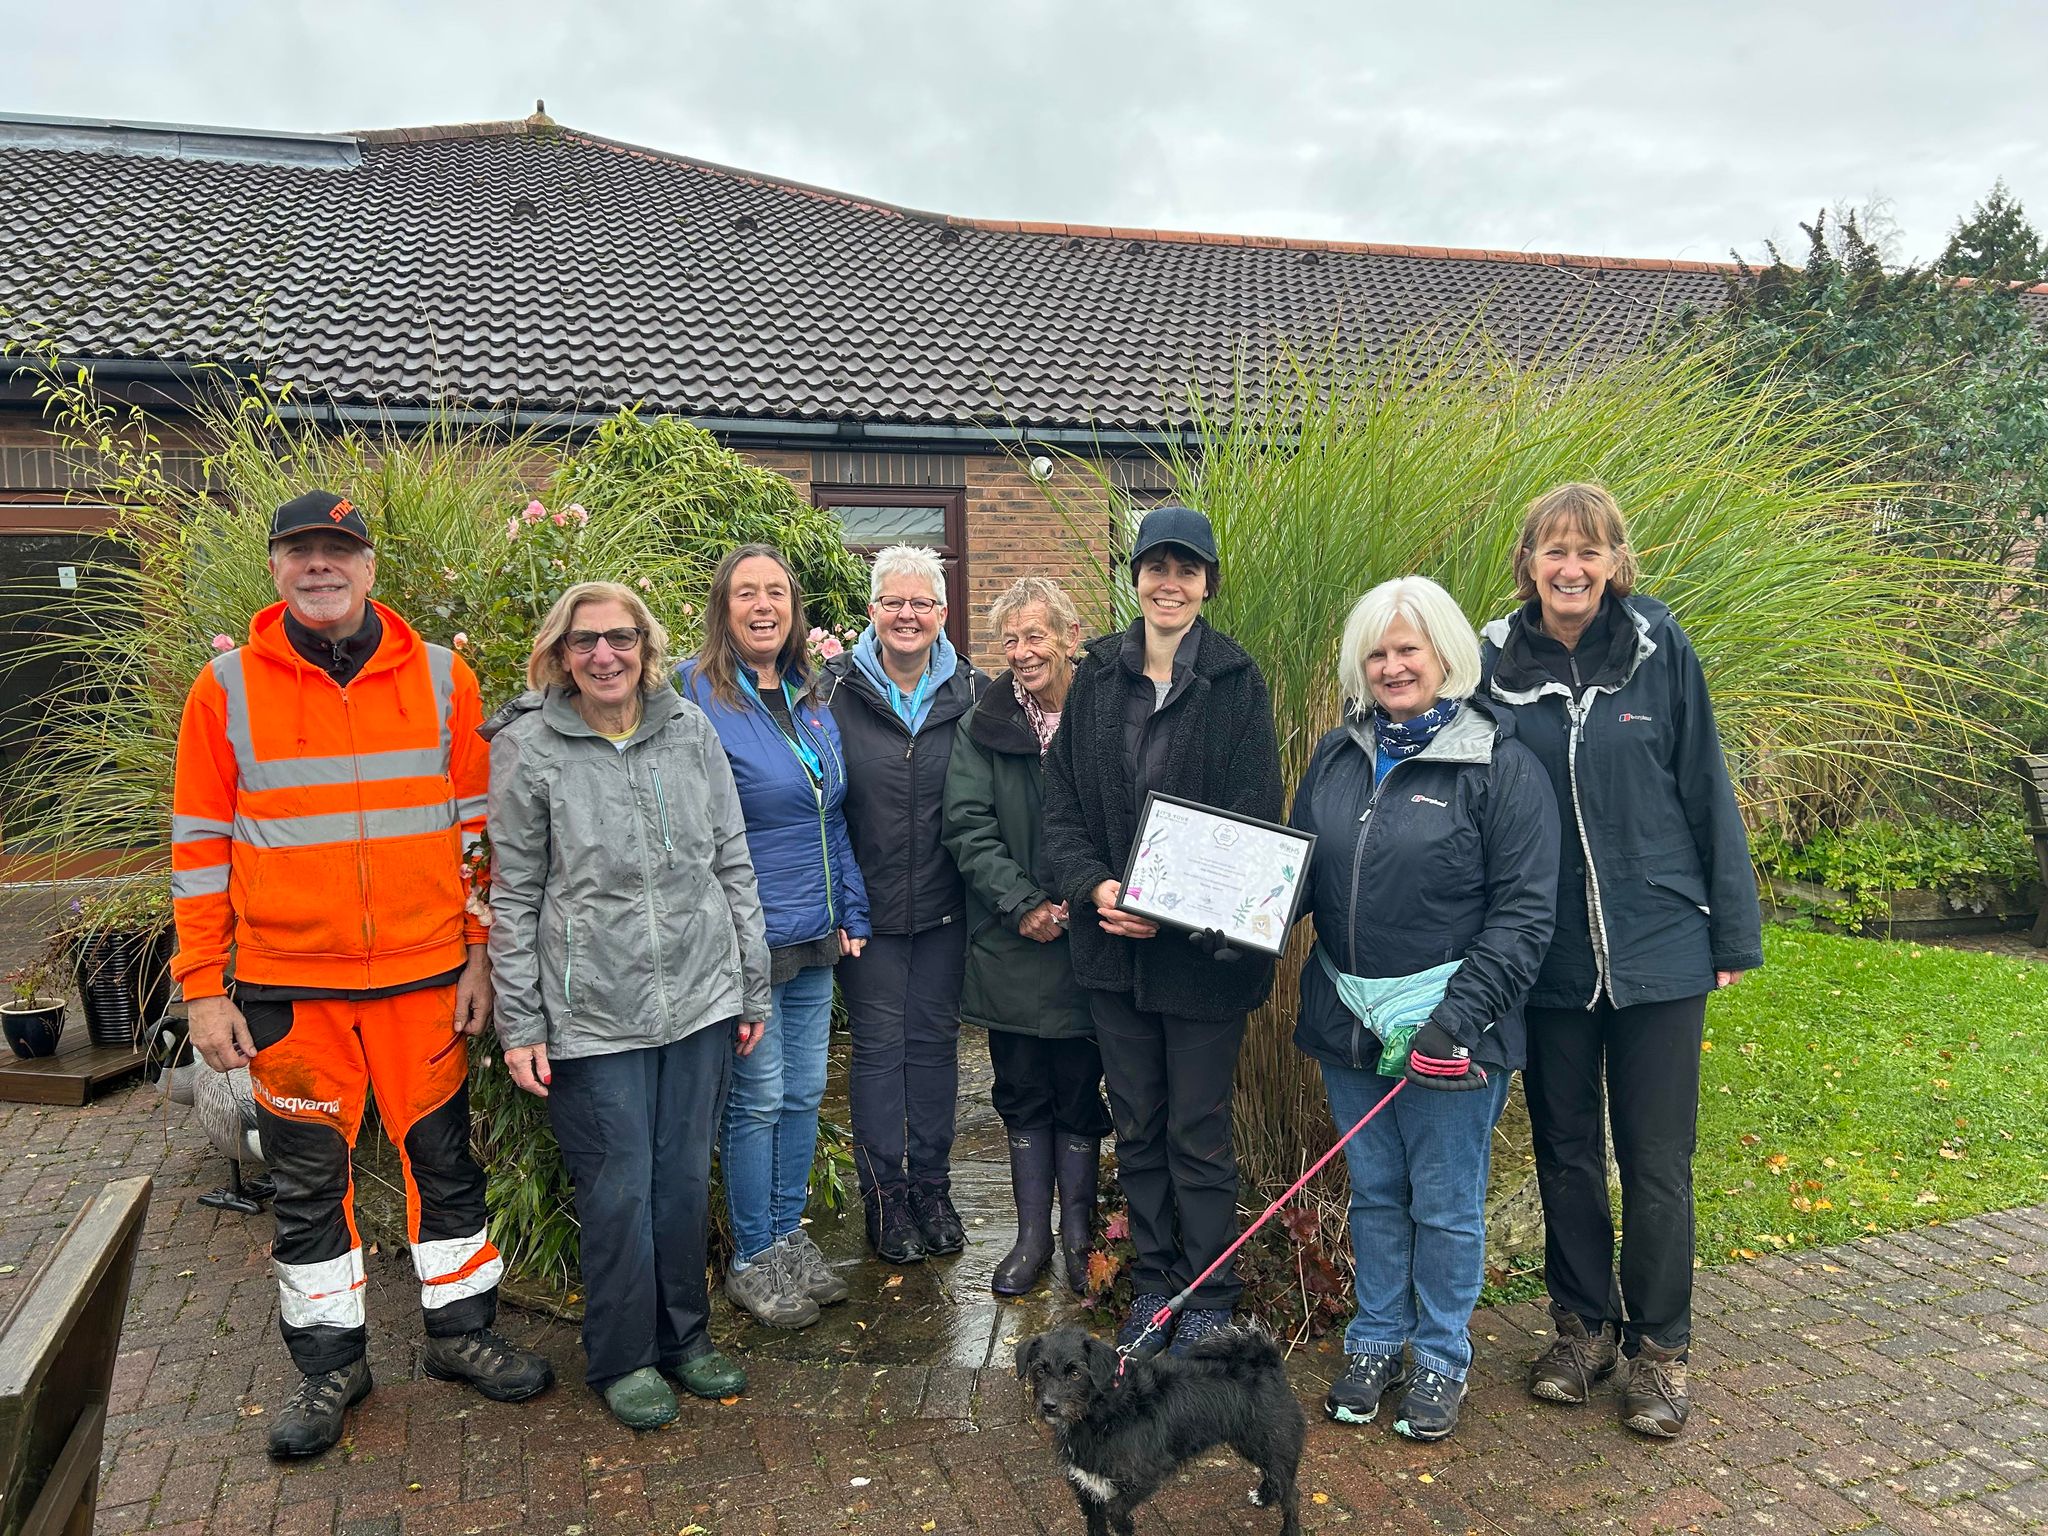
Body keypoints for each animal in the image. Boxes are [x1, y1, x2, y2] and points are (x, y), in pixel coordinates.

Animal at [1015, 1327, 1302, 1536]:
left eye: (1075, 1373)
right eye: (1039, 1370)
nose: (1049, 1405)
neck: (1104, 1412)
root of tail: (1267, 1361)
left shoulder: (1148, 1475)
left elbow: (1115, 1509)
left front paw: (1126, 1526)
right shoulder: (1086, 1487)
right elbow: (1097, 1524)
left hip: (1272, 1442)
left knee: (1291, 1492)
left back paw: (1289, 1529)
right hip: (1252, 1443)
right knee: (1274, 1477)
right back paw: (1264, 1496)